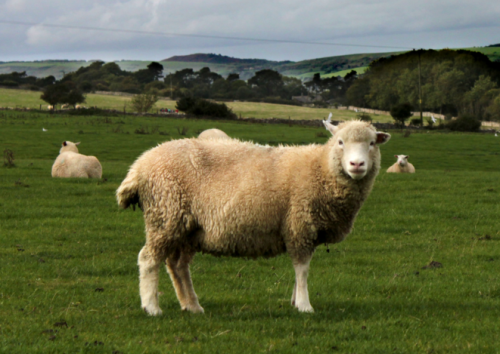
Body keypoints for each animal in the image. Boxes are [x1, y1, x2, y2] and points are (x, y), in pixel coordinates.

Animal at [116, 119, 390, 316]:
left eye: (372, 143)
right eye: (340, 141)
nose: (357, 164)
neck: (321, 167)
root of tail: (139, 166)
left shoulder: (301, 230)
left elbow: (300, 269)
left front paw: (295, 301)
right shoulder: (299, 224)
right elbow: (302, 269)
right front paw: (304, 305)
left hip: (186, 227)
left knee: (177, 265)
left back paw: (192, 305)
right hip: (165, 214)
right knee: (148, 259)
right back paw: (152, 307)